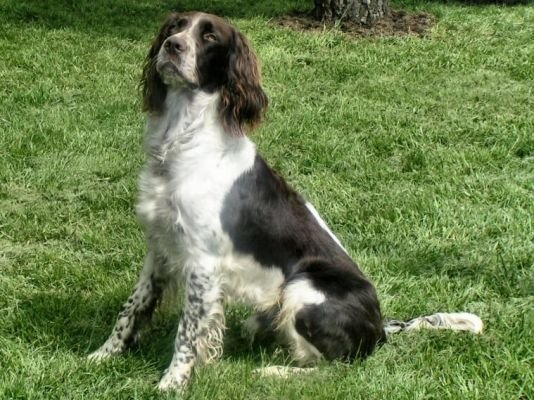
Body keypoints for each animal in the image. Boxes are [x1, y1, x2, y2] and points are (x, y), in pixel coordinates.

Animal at [88, 12, 483, 391]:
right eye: (175, 26)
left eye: (209, 36)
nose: (172, 46)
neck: (180, 143)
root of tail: (381, 329)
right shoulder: (159, 249)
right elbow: (132, 307)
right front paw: (102, 356)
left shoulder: (203, 262)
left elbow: (186, 332)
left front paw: (172, 382)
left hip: (302, 287)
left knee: (335, 368)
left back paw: (272, 372)